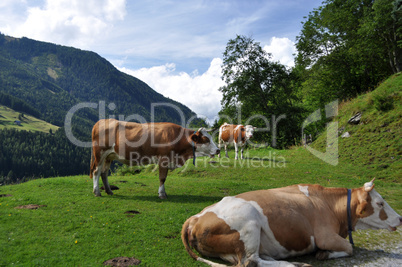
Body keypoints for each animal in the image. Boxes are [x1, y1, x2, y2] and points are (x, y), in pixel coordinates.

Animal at [90, 119, 220, 199]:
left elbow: (164, 177)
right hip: (100, 154)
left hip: (109, 156)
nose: (218, 150)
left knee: (104, 173)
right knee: (96, 171)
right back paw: (97, 192)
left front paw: (163, 192)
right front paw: (162, 194)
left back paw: (109, 191)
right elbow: (162, 178)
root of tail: (102, 121)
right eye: (206, 139)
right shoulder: (163, 159)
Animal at [183, 180, 402, 267]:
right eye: (380, 203)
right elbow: (350, 247)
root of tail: (195, 217)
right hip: (249, 223)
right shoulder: (324, 236)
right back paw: (293, 265)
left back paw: (295, 262)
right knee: (250, 261)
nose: (400, 218)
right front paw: (324, 254)